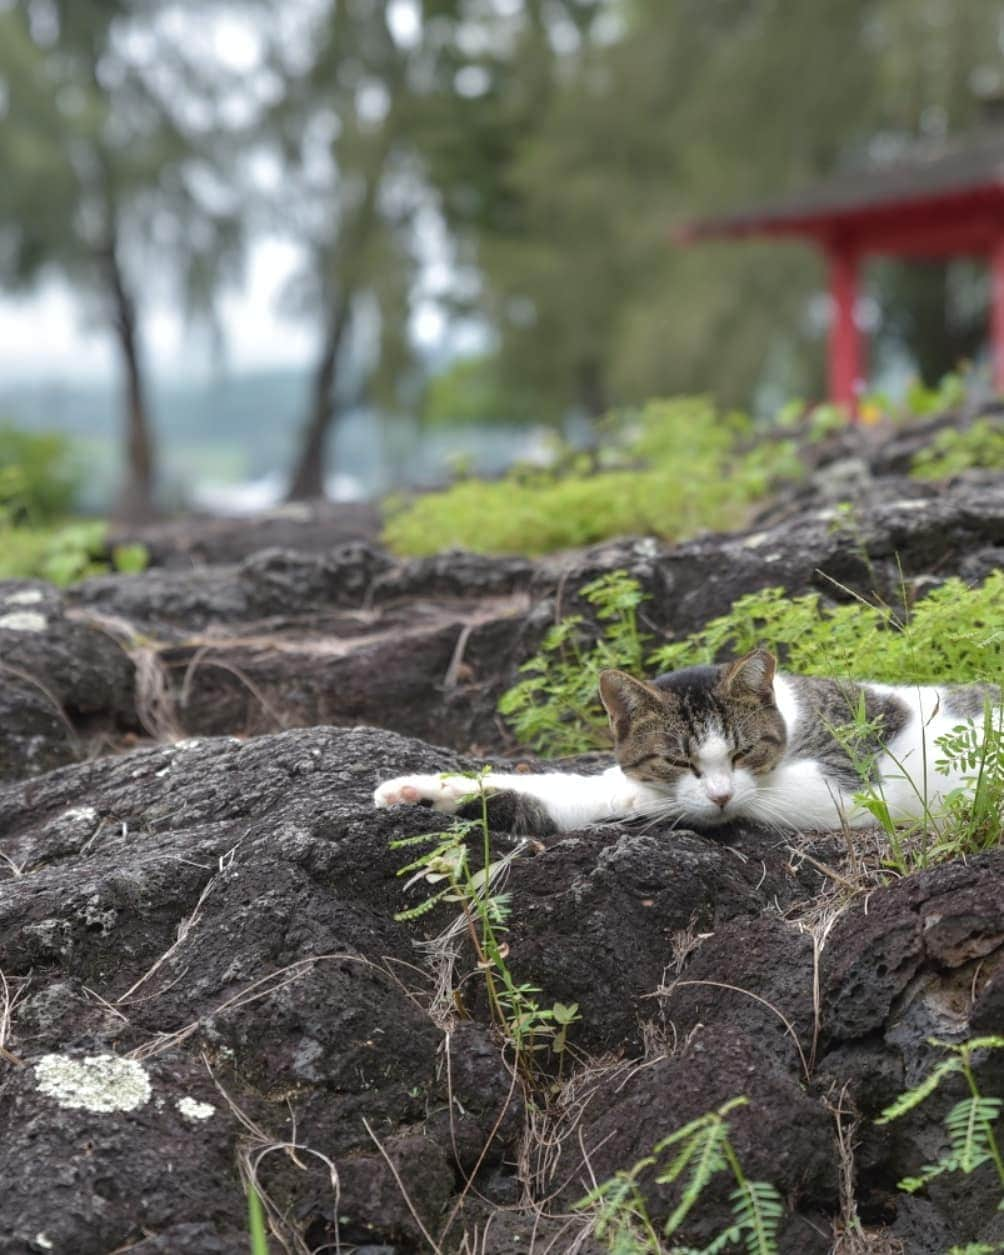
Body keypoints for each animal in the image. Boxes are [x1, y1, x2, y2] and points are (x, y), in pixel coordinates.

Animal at [371, 647, 998, 833]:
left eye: (744, 750)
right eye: (677, 759)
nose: (719, 795)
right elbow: (563, 793)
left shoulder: (853, 783)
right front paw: (424, 790)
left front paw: (646, 800)